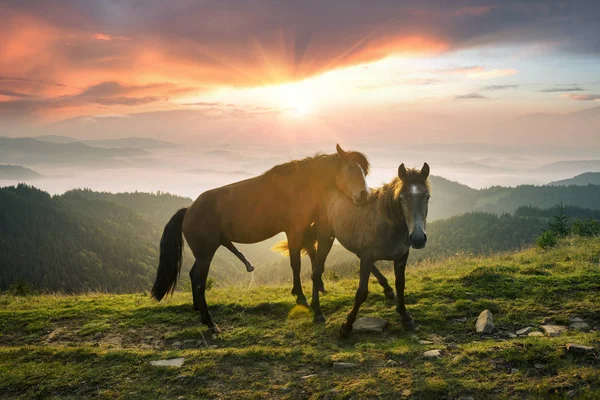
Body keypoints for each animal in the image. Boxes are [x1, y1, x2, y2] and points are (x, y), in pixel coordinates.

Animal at [150, 144, 372, 332]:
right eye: (350, 168)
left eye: (364, 171)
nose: (364, 195)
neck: (300, 186)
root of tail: (188, 210)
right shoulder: (294, 231)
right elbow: (296, 264)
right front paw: (301, 297)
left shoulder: (305, 233)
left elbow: (313, 261)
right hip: (206, 254)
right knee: (198, 280)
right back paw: (210, 322)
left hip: (204, 253)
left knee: (193, 275)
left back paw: (199, 310)